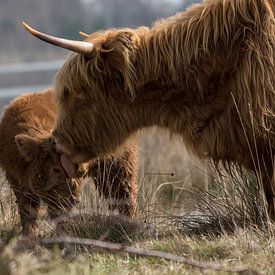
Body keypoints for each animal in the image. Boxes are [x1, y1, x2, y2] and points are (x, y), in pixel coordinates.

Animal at [0, 89, 138, 236]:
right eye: (56, 169)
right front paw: (29, 236)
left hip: (118, 162)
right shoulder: (17, 180)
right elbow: (28, 211)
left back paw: (125, 226)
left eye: (82, 173)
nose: (74, 199)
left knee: (122, 190)